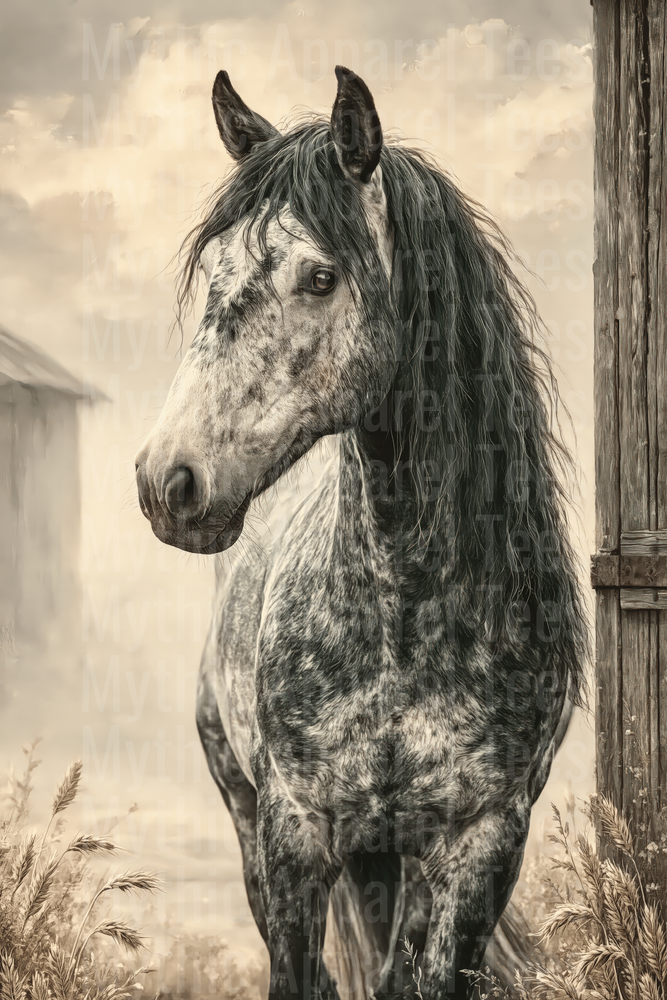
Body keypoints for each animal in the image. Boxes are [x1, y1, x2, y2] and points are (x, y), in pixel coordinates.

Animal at [135, 66, 587, 999]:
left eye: (318, 276)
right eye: (216, 270)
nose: (169, 481)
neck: (404, 611)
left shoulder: (481, 845)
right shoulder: (293, 832)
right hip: (250, 813)